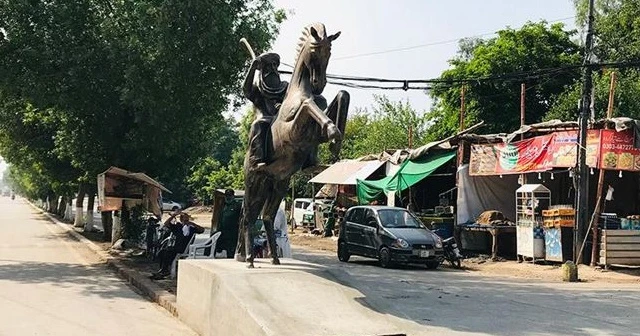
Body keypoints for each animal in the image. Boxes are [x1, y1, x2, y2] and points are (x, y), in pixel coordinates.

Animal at [235, 22, 348, 266]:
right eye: (314, 50)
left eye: (329, 52)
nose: (318, 84)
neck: (297, 91)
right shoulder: (295, 127)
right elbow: (308, 105)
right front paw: (333, 131)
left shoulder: (315, 133)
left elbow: (342, 95)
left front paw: (335, 143)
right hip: (253, 182)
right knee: (247, 216)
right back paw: (248, 259)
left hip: (277, 184)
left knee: (266, 217)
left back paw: (274, 259)